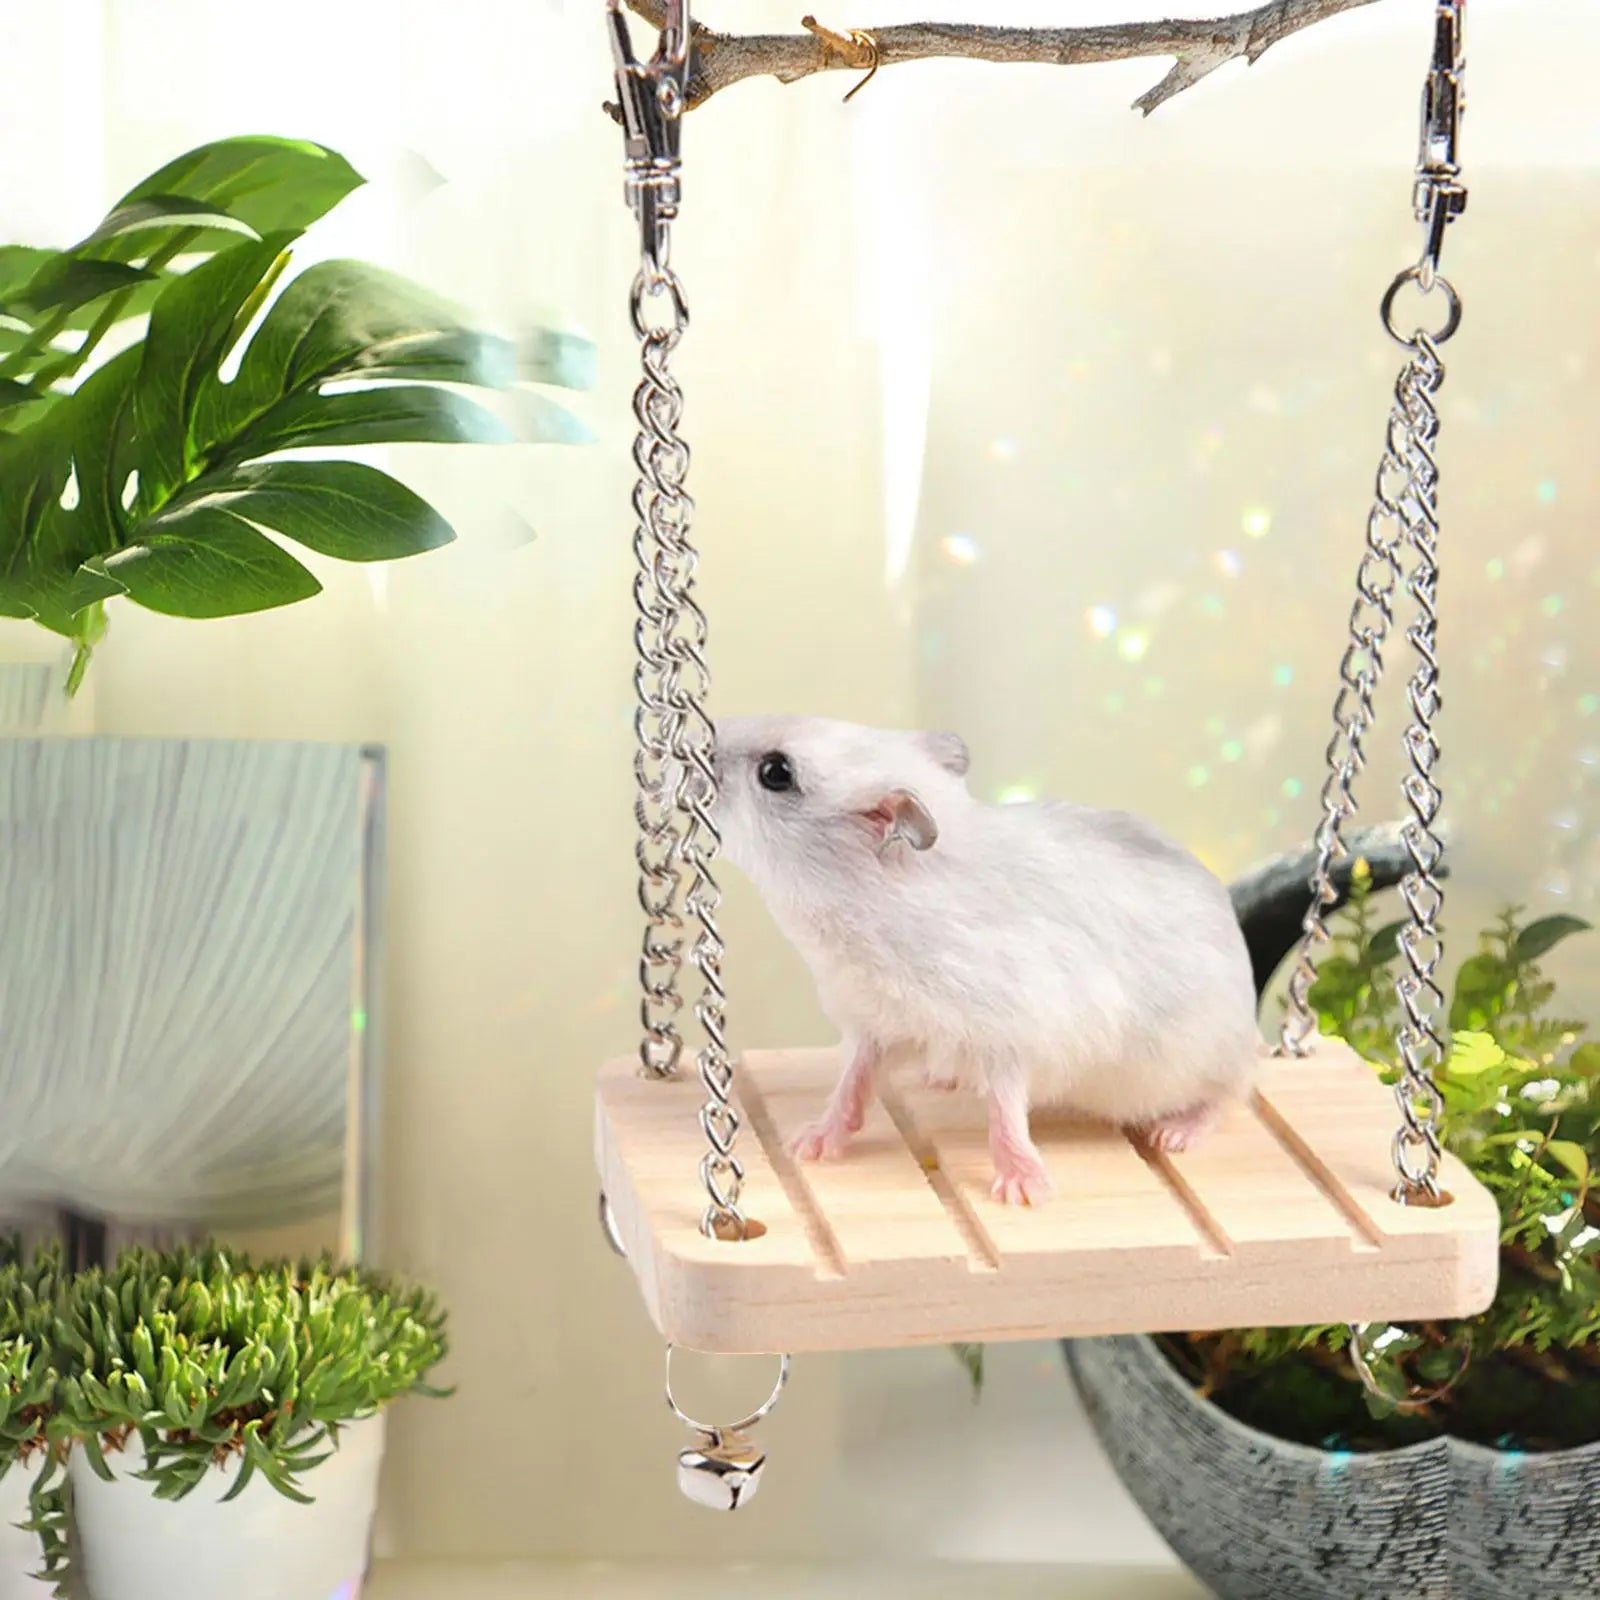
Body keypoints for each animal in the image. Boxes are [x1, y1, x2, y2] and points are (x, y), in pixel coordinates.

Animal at [713, 715, 1260, 1205]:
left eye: (776, 771)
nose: (701, 737)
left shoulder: (1008, 1034)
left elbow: (1006, 1111)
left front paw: (1026, 1193)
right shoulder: (872, 1021)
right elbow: (852, 1083)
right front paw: (807, 1145)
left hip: (1209, 1052)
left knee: (1233, 1090)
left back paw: (1176, 1134)